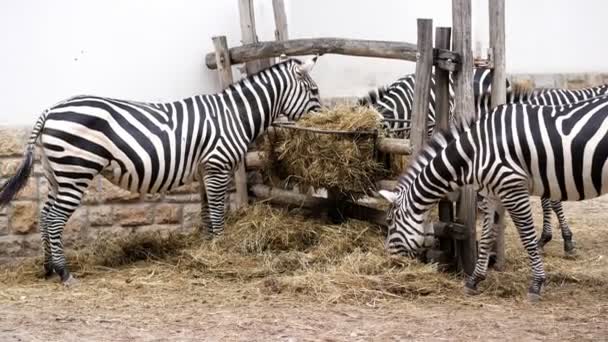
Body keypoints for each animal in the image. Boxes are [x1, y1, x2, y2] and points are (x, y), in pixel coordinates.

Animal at [0, 56, 324, 286]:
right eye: (315, 91)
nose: (325, 121)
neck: (234, 115)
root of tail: (50, 110)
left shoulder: (205, 170)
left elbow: (207, 213)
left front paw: (206, 250)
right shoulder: (218, 165)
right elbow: (217, 214)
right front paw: (220, 249)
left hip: (57, 173)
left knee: (44, 216)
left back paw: (48, 269)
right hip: (75, 171)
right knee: (55, 220)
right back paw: (65, 273)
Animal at [378, 89, 608, 300]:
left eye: (389, 222)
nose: (389, 260)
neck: (475, 151)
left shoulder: (512, 188)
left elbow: (527, 236)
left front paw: (537, 283)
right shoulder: (493, 193)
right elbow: (487, 236)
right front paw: (474, 280)